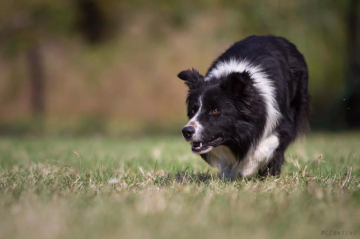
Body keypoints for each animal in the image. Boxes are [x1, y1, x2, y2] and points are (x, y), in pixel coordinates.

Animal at [177, 34, 310, 178]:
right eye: (193, 110)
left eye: (215, 111)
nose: (186, 131)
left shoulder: (283, 121)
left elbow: (268, 144)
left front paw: (248, 167)